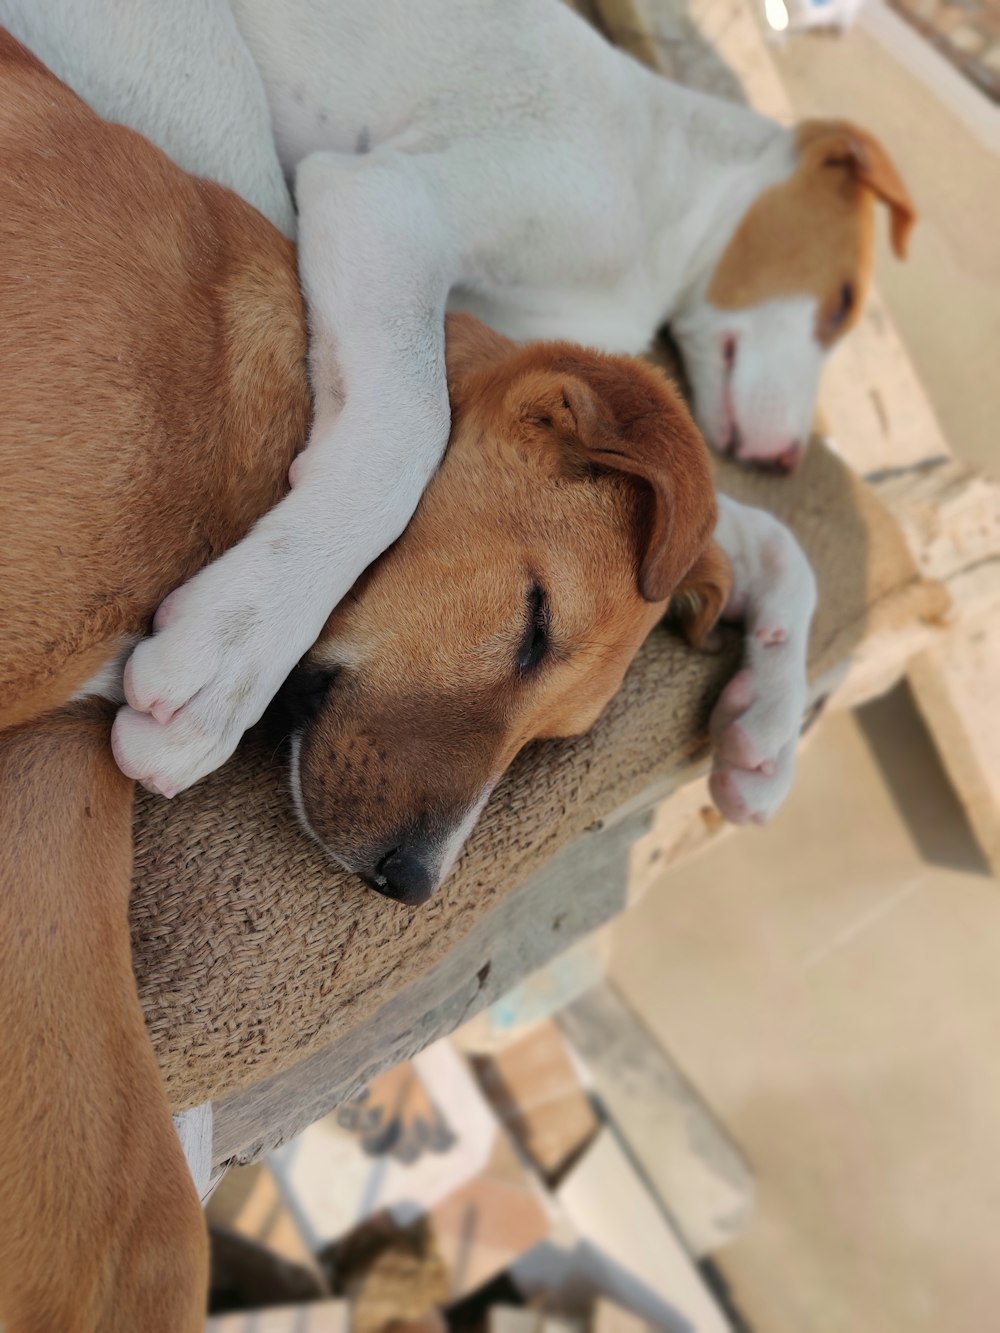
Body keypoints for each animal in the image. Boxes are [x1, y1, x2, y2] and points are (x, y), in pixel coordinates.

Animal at [0, 0, 912, 821]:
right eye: (841, 303)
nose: (788, 458)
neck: (664, 184)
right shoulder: (387, 205)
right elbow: (411, 429)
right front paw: (240, 643)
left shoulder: (536, 366)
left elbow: (768, 538)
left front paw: (770, 718)